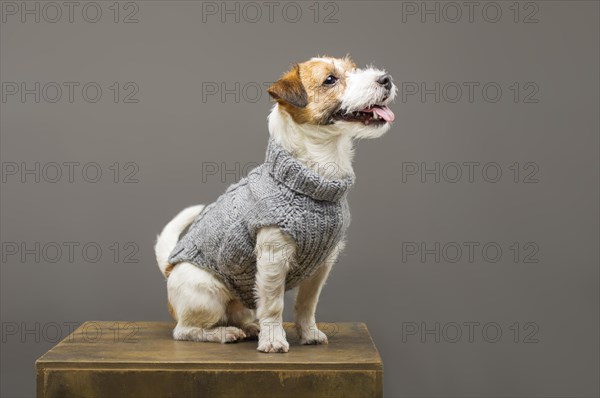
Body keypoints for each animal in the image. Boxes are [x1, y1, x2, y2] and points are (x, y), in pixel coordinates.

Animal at [157, 54, 396, 352]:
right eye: (330, 80)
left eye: (354, 69)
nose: (386, 79)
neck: (315, 177)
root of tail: (169, 268)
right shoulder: (273, 258)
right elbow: (273, 305)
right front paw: (273, 340)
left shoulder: (322, 264)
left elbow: (306, 304)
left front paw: (308, 333)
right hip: (206, 293)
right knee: (185, 331)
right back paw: (223, 333)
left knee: (241, 314)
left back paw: (249, 327)